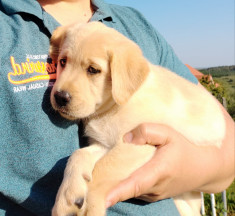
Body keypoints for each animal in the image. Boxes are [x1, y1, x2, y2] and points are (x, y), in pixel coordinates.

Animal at [49, 21, 224, 216]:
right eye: (63, 62)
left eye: (93, 70)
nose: (60, 97)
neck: (113, 107)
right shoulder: (105, 143)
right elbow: (78, 155)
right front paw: (67, 196)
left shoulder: (138, 144)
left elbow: (102, 171)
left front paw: (91, 206)